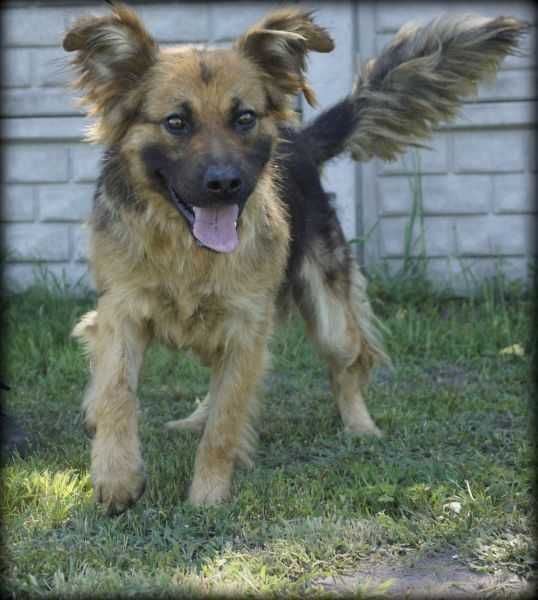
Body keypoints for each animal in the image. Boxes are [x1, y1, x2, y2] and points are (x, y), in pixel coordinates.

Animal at [63, 2, 528, 512]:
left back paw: (360, 426)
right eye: (176, 123)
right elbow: (116, 393)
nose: (225, 184)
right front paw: (117, 476)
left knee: (347, 365)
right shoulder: (120, 311)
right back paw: (191, 418)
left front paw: (207, 497)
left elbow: (226, 423)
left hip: (329, 316)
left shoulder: (247, 326)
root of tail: (299, 142)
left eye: (244, 118)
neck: (186, 249)